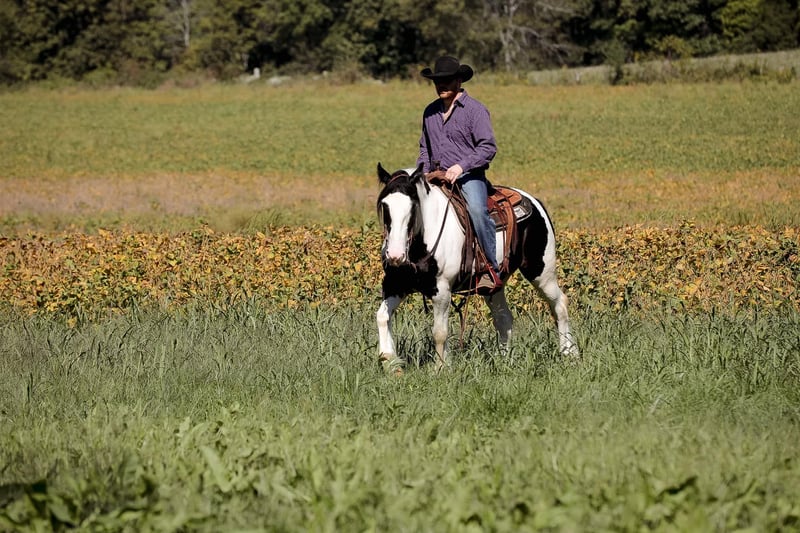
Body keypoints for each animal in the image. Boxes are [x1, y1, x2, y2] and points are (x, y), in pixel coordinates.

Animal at [376, 162, 578, 372]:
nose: (395, 255)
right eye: (385, 206)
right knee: (504, 318)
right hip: (494, 285)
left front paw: (440, 367)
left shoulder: (442, 289)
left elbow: (439, 332)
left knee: (560, 304)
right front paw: (390, 361)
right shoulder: (395, 284)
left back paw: (569, 353)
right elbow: (382, 317)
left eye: (413, 206)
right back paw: (503, 360)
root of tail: (535, 202)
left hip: (541, 271)